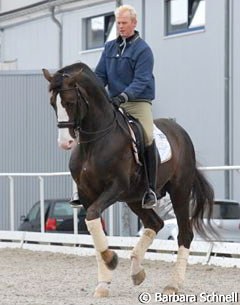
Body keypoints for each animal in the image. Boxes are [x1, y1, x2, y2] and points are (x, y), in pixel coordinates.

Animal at [42, 62, 214, 296]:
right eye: (53, 104)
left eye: (70, 102)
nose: (65, 143)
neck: (94, 142)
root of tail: (180, 132)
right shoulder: (87, 194)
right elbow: (93, 225)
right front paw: (103, 283)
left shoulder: (116, 187)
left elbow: (93, 216)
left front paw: (111, 259)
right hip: (135, 199)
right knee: (156, 223)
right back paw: (137, 272)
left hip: (179, 191)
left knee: (184, 234)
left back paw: (173, 284)